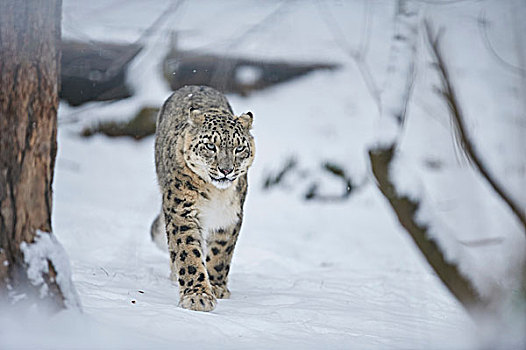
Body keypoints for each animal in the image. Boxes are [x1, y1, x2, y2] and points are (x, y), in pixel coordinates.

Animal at [151, 85, 256, 312]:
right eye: (210, 146)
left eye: (239, 148)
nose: (226, 170)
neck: (217, 195)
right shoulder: (182, 212)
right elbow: (188, 252)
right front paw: (197, 296)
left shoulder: (229, 218)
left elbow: (220, 254)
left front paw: (216, 286)